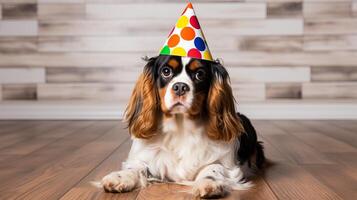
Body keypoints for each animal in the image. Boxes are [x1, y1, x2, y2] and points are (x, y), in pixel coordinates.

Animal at [100, 55, 264, 198]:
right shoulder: (145, 157)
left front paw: (208, 183)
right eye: (166, 71)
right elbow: (136, 167)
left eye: (200, 74)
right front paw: (119, 177)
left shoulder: (228, 166)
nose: (180, 87)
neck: (181, 128)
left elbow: (213, 168)